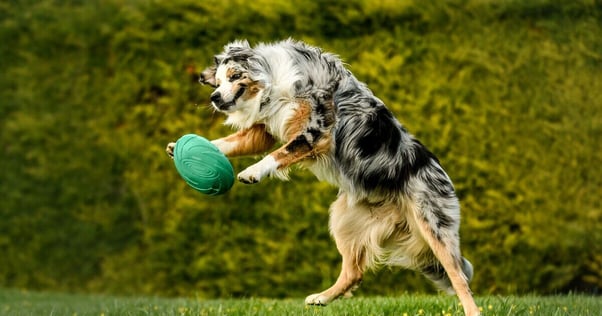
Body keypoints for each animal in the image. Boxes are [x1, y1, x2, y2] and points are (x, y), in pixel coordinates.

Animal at [166, 39, 480, 316]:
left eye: (234, 76)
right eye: (218, 81)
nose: (214, 97)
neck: (273, 82)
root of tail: (438, 172)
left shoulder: (316, 131)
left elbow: (279, 153)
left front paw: (252, 172)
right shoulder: (265, 130)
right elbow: (232, 142)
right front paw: (182, 146)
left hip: (433, 225)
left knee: (459, 278)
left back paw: (472, 310)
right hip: (344, 219)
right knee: (354, 272)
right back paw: (322, 297)